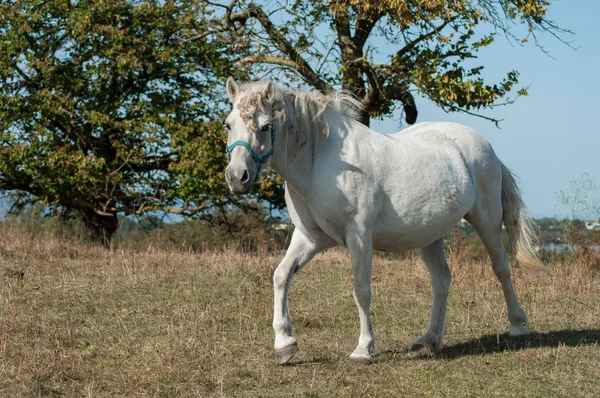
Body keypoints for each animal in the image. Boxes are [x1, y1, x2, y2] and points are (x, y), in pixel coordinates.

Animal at [221, 77, 544, 364]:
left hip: (486, 220)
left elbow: (361, 289)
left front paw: (363, 350)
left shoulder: (359, 236)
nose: (237, 177)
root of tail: (485, 146)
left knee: (502, 269)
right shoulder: (309, 238)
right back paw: (428, 341)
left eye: (266, 126)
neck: (321, 162)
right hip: (430, 236)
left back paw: (517, 326)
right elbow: (281, 276)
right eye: (228, 124)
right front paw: (284, 345)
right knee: (441, 280)